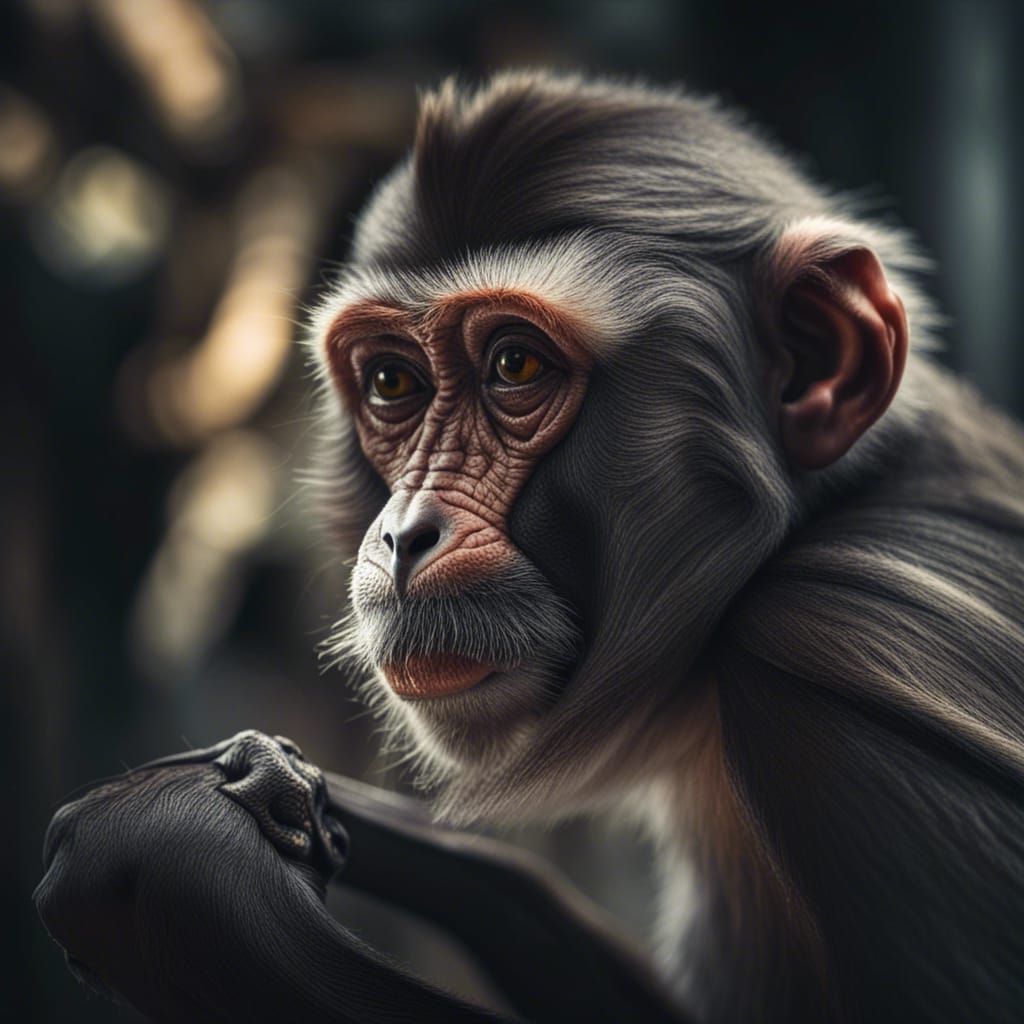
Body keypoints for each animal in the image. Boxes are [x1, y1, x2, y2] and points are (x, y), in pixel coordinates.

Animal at [35, 71, 1024, 1024]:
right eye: (392, 381)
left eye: (516, 365)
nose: (403, 533)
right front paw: (272, 779)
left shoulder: (829, 649)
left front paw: (167, 861)